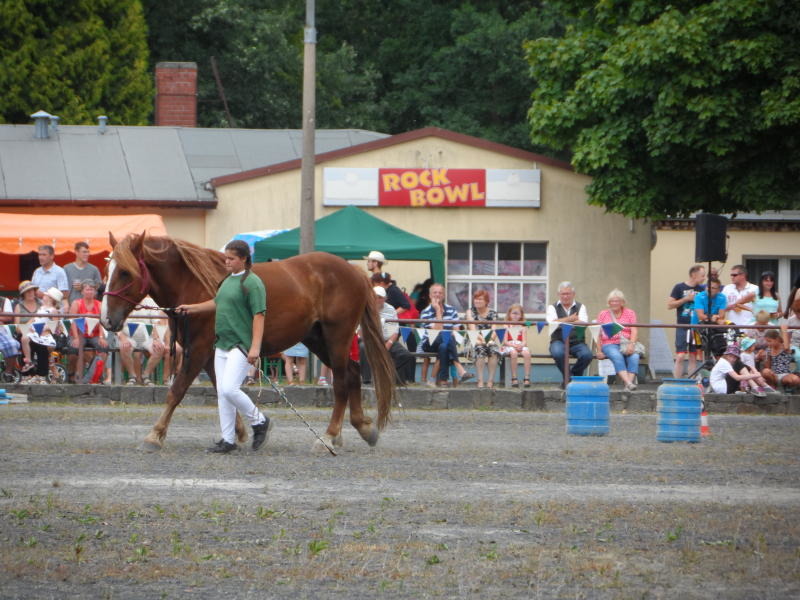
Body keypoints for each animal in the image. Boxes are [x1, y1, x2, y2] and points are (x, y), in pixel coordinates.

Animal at [101, 232, 396, 452]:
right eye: (108, 268)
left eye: (125, 272)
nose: (106, 320)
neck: (194, 284)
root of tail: (353, 271)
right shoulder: (211, 352)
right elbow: (222, 389)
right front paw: (242, 431)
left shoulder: (198, 350)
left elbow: (178, 390)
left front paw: (154, 435)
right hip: (317, 339)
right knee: (353, 373)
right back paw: (361, 428)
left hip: (337, 336)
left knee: (342, 382)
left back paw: (329, 436)